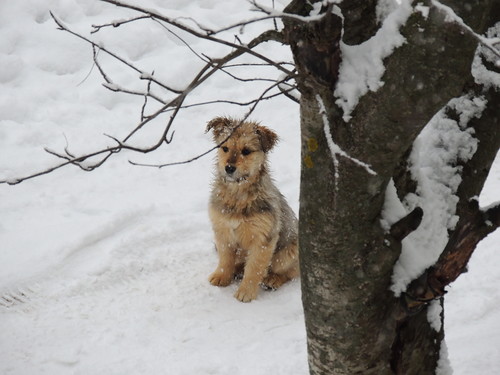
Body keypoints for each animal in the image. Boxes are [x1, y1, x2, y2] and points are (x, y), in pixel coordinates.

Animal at [205, 116, 298, 304]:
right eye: (225, 148)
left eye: (246, 151)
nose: (229, 168)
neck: (238, 196)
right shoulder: (223, 231)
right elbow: (225, 259)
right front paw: (222, 276)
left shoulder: (262, 239)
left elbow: (254, 268)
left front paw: (246, 292)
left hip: (289, 252)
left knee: (290, 272)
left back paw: (273, 279)